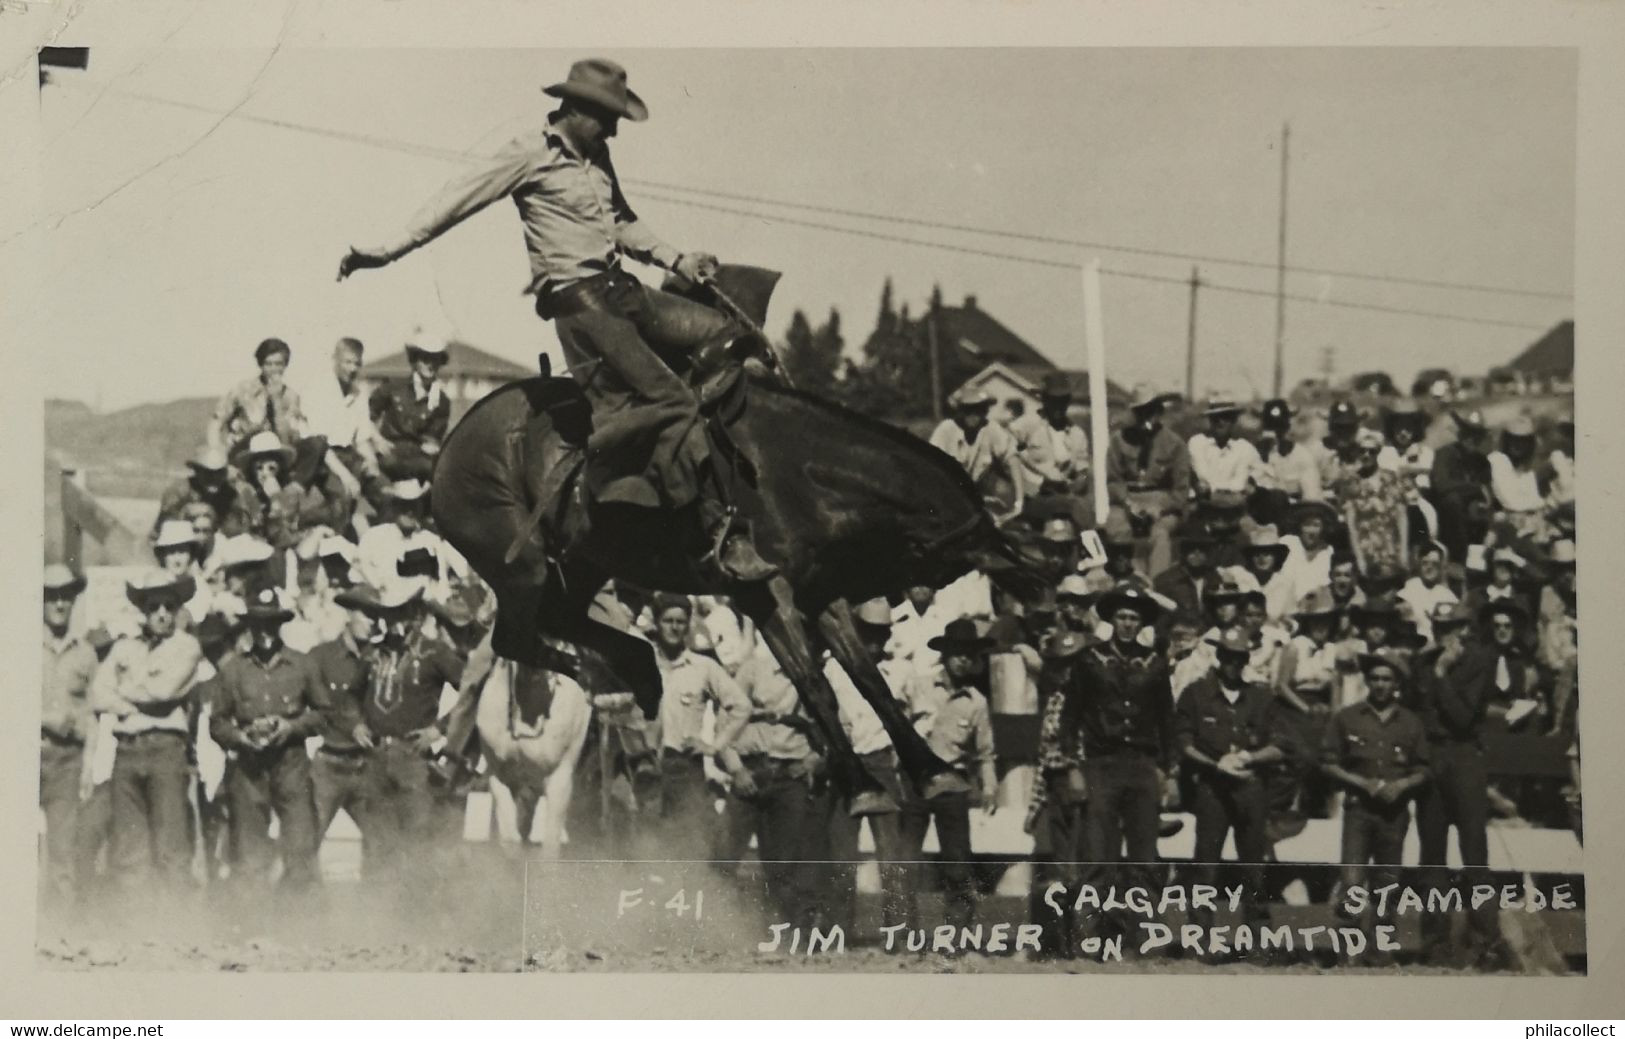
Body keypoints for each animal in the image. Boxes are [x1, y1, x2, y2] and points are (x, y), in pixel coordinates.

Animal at [432, 266, 1040, 812]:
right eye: (975, 541)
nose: (1032, 577)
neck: (791, 468)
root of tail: (449, 451)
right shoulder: (762, 592)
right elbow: (813, 681)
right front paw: (864, 788)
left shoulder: (819, 592)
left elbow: (867, 678)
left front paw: (934, 772)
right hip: (522, 568)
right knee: (516, 637)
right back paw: (609, 678)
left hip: (581, 565)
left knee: (559, 620)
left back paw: (640, 670)